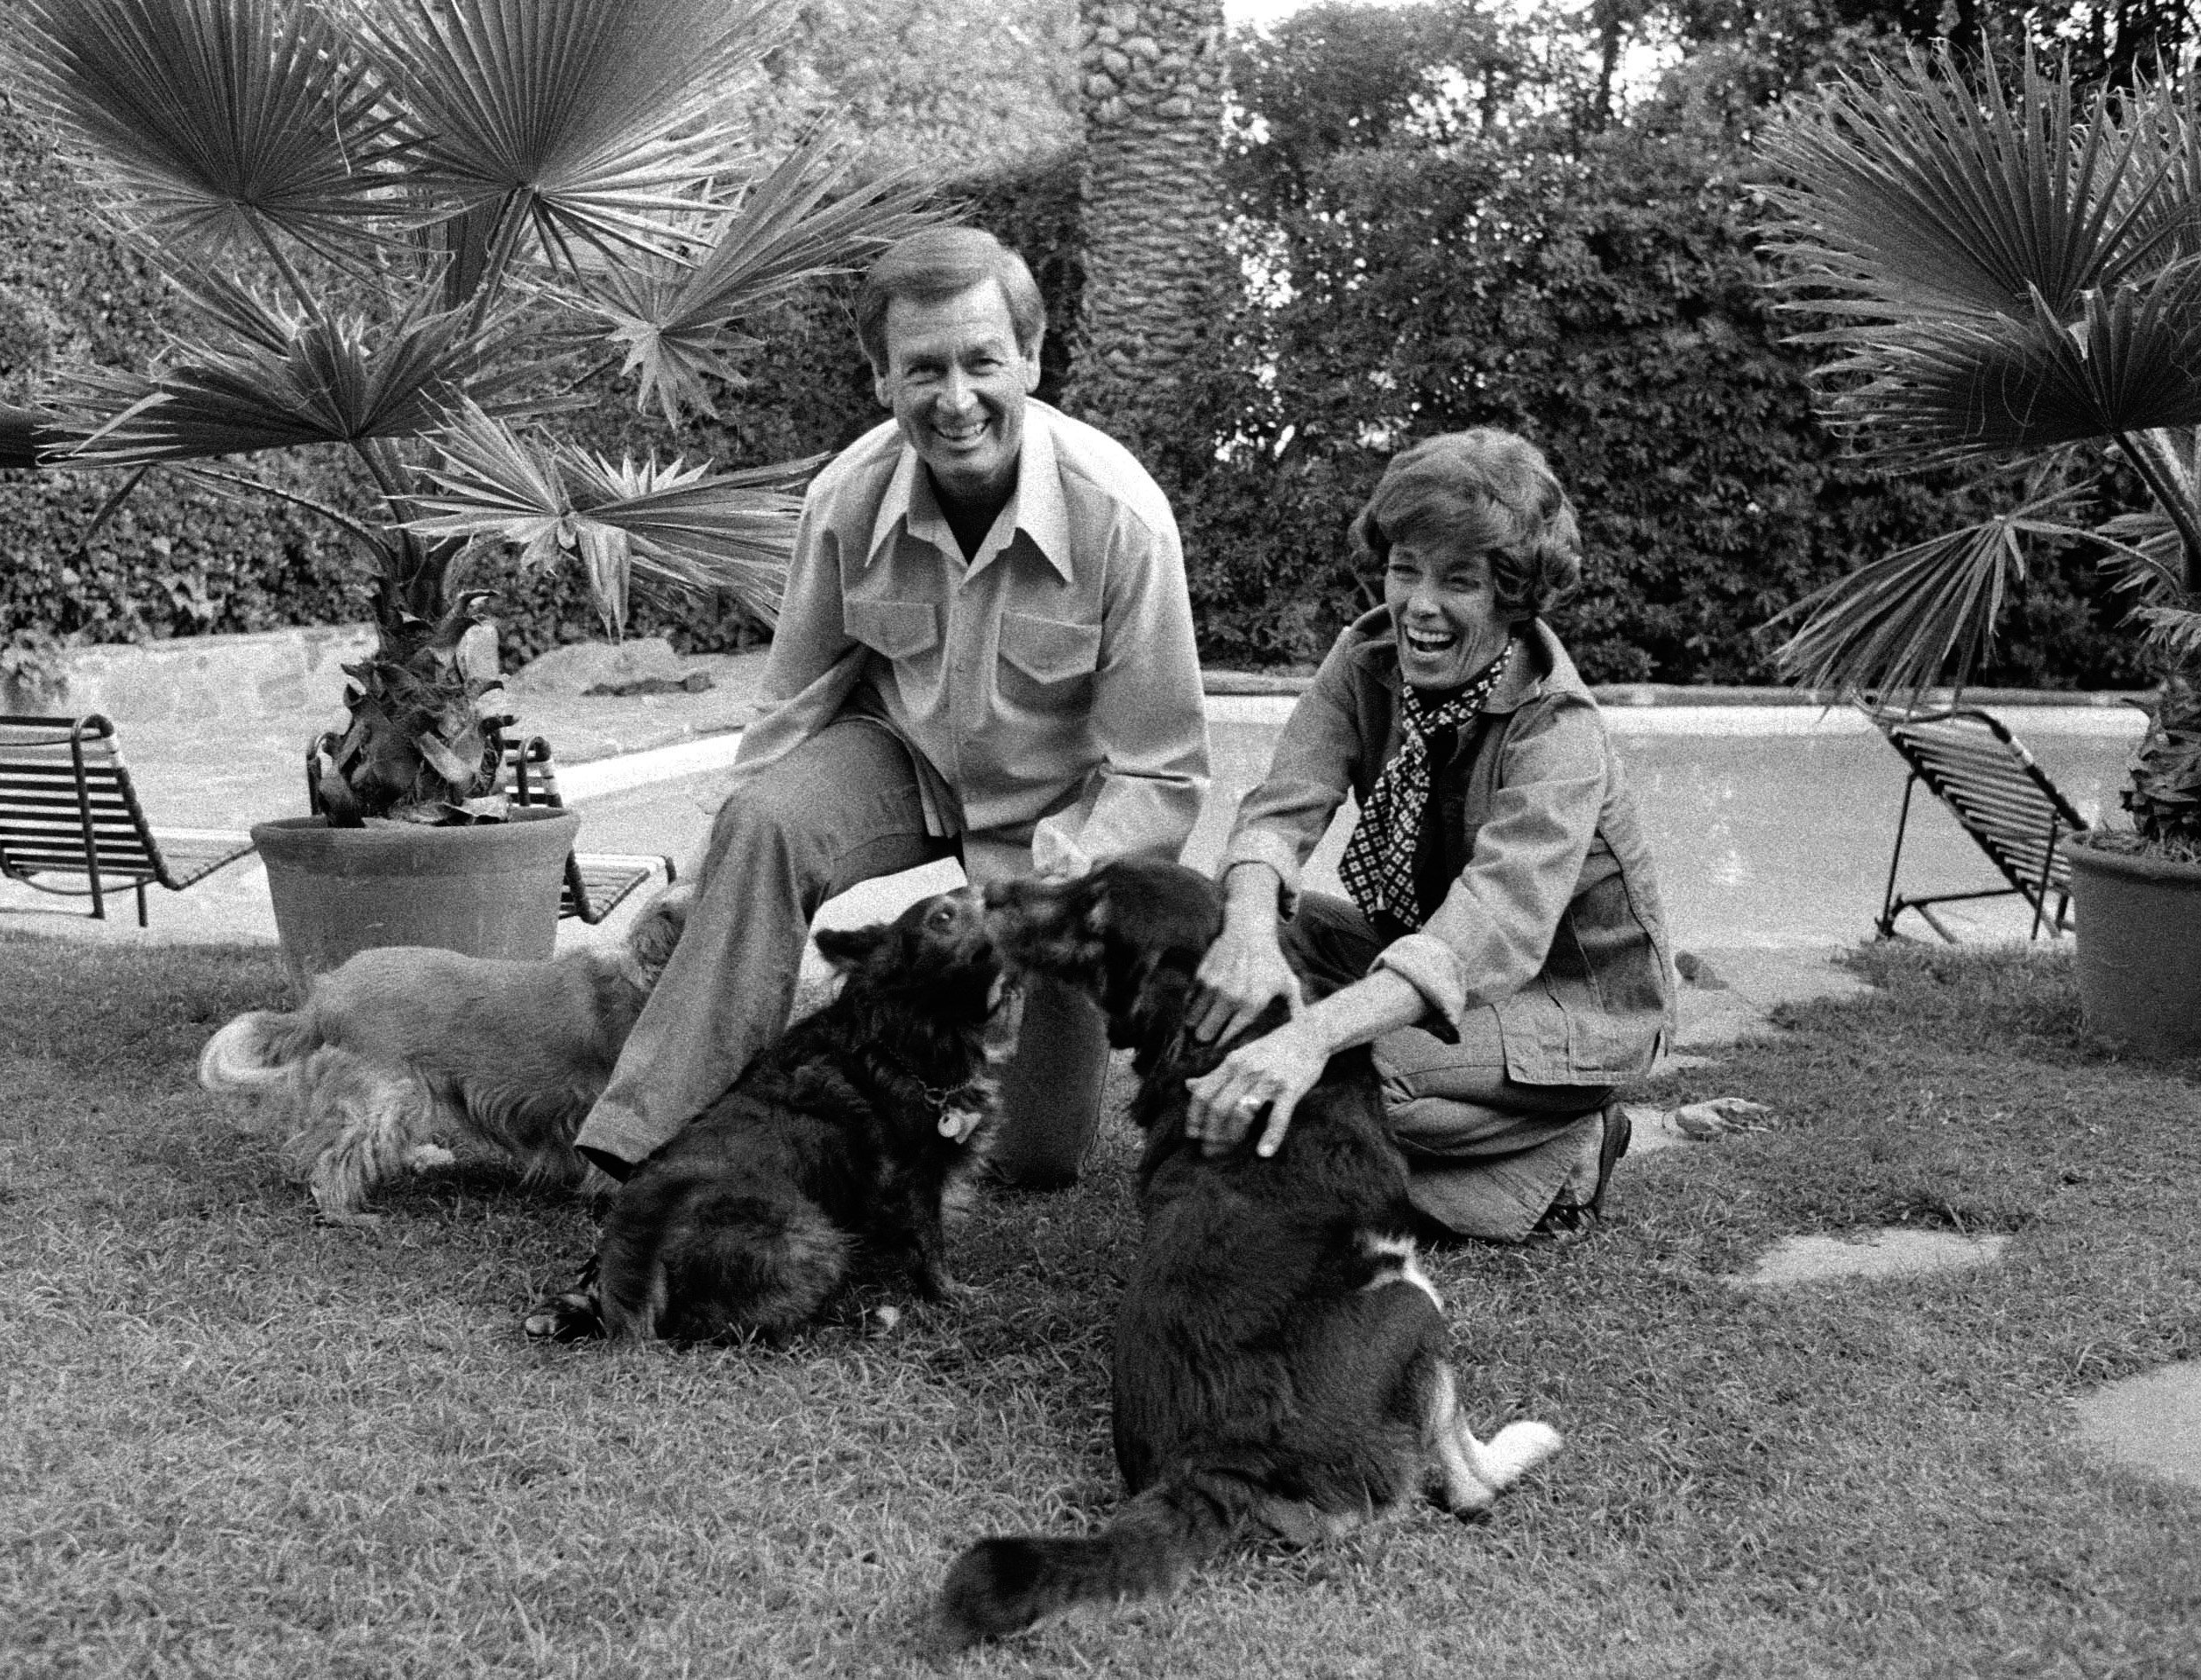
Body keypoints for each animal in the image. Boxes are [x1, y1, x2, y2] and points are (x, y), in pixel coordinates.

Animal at [537, 885, 1003, 1347]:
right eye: (942, 917)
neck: (900, 1033)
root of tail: (633, 1268)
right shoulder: (917, 1175)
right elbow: (930, 1243)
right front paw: (950, 1293)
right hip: (815, 1237)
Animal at [937, 858, 1558, 1646]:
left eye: (1094, 907)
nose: (987, 895)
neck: (1248, 1034)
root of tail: (1219, 1461)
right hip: (1412, 1302)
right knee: (1465, 1475)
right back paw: (1516, 1451)